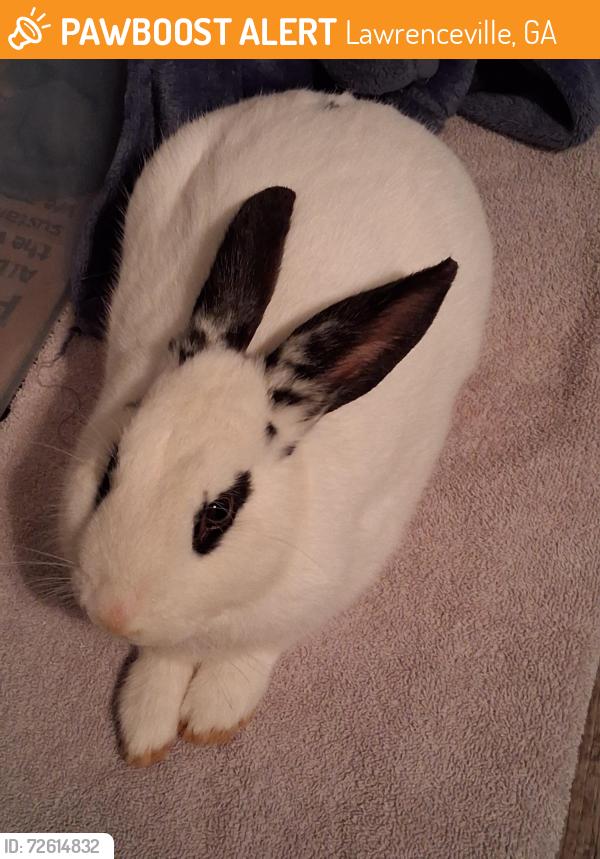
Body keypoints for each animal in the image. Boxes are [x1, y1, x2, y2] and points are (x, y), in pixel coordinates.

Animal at [61, 89, 492, 767]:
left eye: (218, 513)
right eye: (108, 472)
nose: (112, 613)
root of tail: (357, 106)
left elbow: (249, 651)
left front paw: (212, 718)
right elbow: (163, 655)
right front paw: (147, 730)